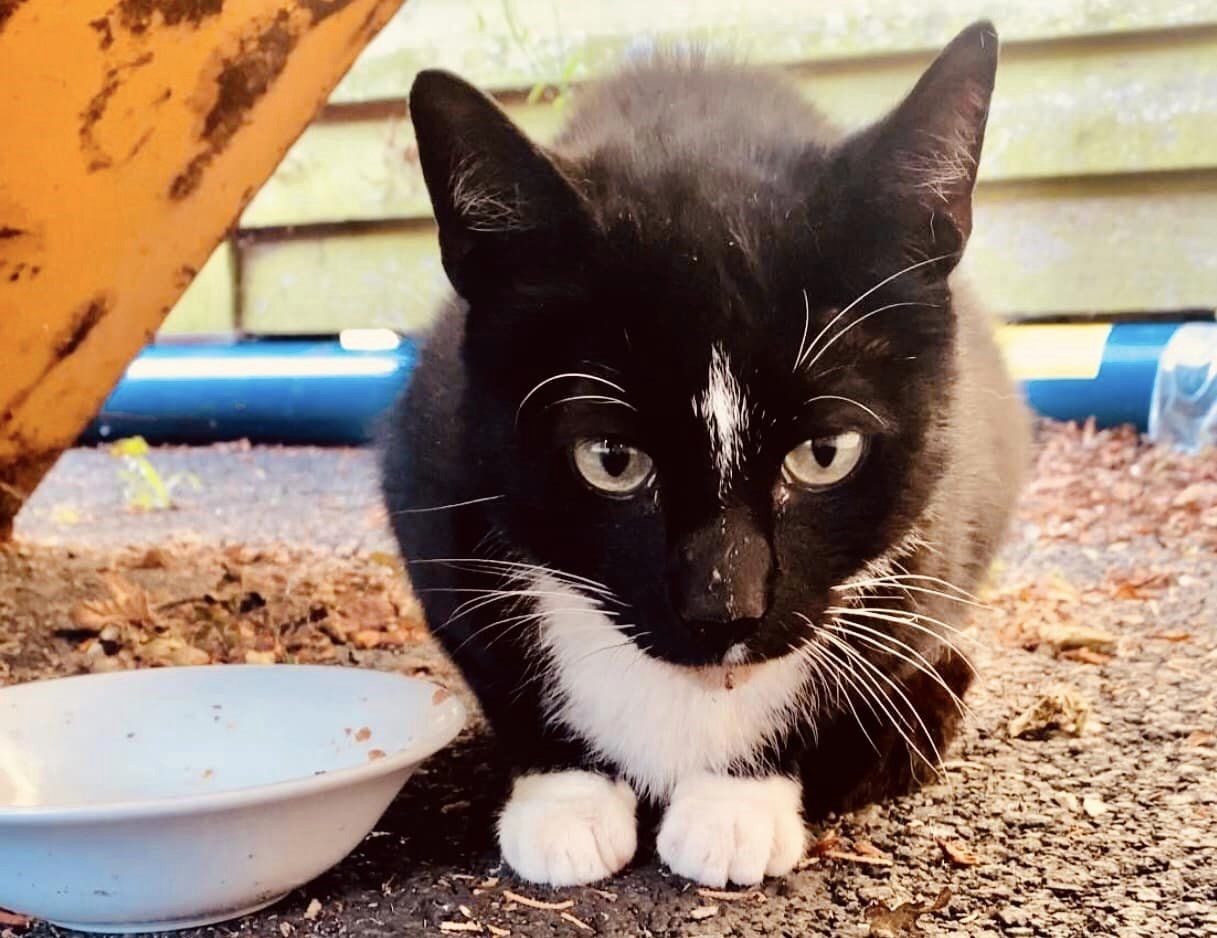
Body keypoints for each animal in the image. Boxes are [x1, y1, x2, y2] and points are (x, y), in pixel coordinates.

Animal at [379, 20, 1027, 885]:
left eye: (825, 452)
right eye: (610, 459)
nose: (725, 608)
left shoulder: (939, 530)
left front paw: (734, 803)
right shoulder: (430, 481)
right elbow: (497, 668)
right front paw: (566, 800)